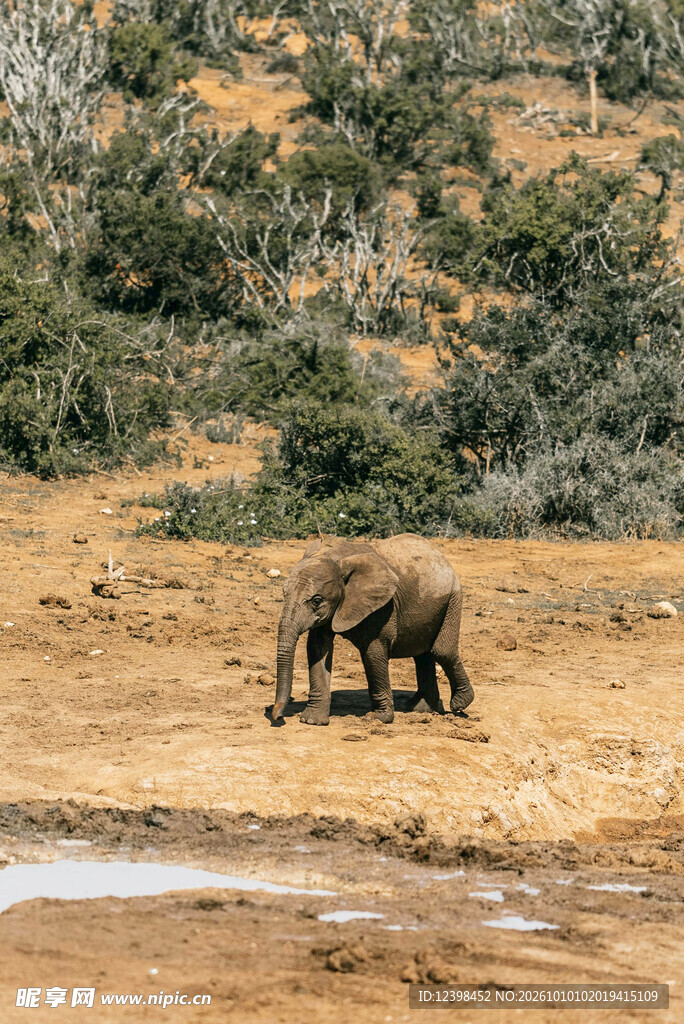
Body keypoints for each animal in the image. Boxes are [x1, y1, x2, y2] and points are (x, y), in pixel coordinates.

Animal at [272, 533, 473, 725]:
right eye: (283, 593)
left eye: (316, 601)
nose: (277, 717)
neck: (336, 559)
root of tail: (441, 557)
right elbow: (317, 649)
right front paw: (312, 721)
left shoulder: (382, 608)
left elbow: (373, 654)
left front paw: (377, 718)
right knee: (422, 655)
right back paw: (420, 709)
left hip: (453, 598)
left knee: (442, 651)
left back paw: (460, 704)